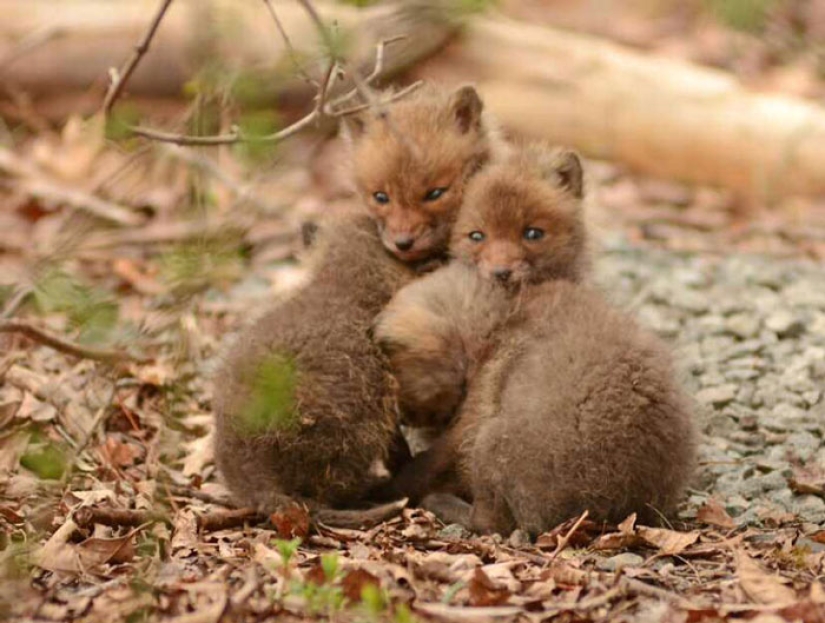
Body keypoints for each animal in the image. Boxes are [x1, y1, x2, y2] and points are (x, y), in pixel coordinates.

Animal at [373, 142, 697, 535]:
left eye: (533, 234)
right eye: (476, 236)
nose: (501, 272)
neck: (500, 324)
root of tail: (603, 507)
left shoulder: (473, 415)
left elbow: (422, 468)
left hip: (490, 444)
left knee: (490, 522)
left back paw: (441, 503)